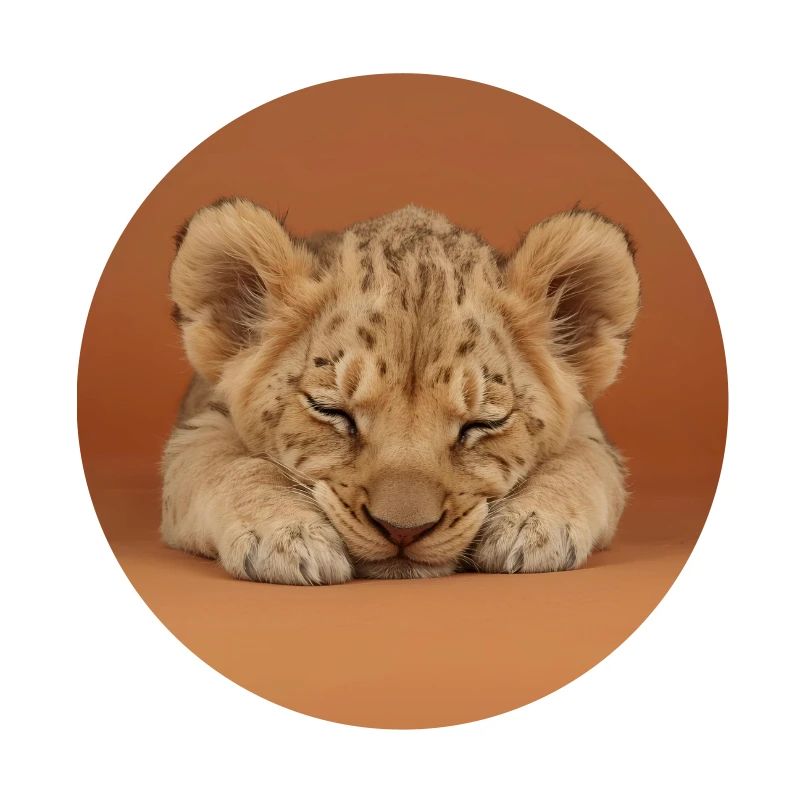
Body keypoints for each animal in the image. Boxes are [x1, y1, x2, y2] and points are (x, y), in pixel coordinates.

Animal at [161, 197, 640, 584]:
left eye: (483, 424)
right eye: (331, 411)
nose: (403, 531)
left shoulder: (589, 431)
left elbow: (579, 464)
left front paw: (535, 526)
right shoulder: (199, 428)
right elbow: (230, 466)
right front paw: (284, 536)